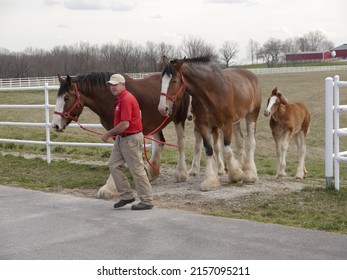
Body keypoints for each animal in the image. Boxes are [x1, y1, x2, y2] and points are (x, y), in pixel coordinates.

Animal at [52, 73, 190, 198]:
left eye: (66, 98)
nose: (55, 125)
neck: (110, 99)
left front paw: (109, 188)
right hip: (156, 122)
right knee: (160, 144)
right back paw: (151, 173)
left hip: (179, 119)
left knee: (181, 143)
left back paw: (181, 174)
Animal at [159, 55, 262, 191]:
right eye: (162, 81)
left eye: (174, 81)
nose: (162, 108)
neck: (210, 91)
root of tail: (252, 76)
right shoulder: (203, 125)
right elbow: (208, 150)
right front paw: (210, 181)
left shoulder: (225, 124)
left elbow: (226, 150)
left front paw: (235, 175)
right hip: (236, 122)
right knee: (240, 142)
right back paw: (241, 166)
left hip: (251, 116)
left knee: (250, 142)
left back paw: (250, 174)